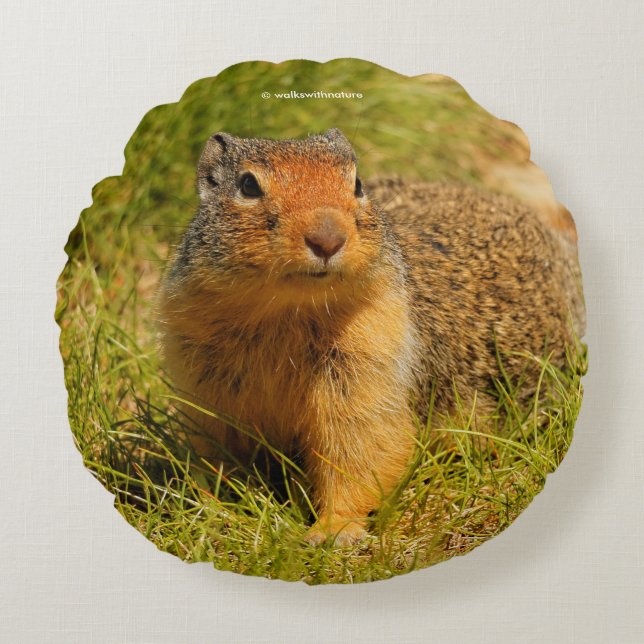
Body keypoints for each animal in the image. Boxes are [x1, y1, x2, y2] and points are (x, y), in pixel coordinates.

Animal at [157, 128, 586, 547]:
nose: (327, 238)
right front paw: (213, 511)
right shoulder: (204, 378)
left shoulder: (370, 360)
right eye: (248, 185)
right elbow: (218, 451)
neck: (284, 311)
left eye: (357, 184)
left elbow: (361, 449)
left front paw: (334, 530)